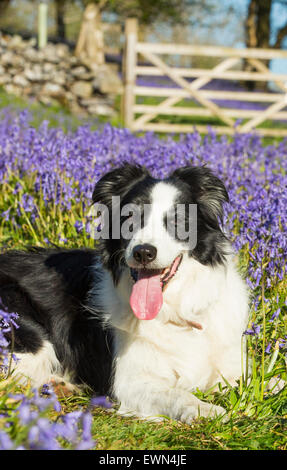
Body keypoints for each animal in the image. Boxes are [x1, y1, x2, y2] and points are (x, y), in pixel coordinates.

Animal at [0, 164, 250, 422]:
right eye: (130, 217)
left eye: (177, 220)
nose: (144, 253)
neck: (175, 313)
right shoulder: (129, 382)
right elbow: (178, 394)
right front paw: (206, 409)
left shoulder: (234, 370)